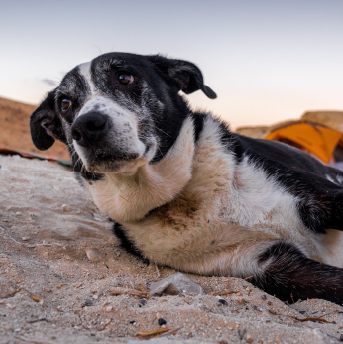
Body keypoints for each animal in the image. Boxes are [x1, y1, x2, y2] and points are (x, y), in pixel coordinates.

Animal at [29, 52, 343, 306]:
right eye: (65, 103)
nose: (86, 126)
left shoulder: (323, 197)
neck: (182, 195)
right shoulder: (271, 265)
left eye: (124, 77)